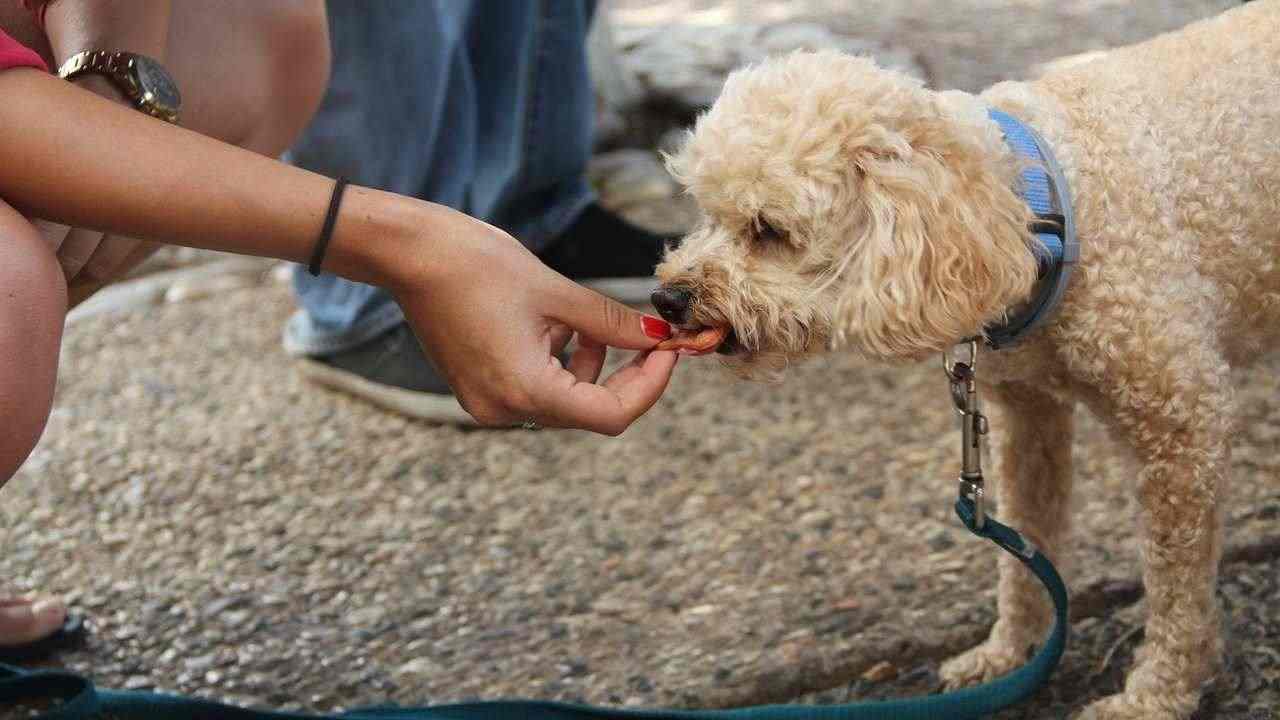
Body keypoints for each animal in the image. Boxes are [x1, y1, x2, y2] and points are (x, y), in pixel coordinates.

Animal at [650, 2, 1280, 712]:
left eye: (769, 230)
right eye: (705, 213)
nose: (667, 298)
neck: (1043, 209)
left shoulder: (1182, 428)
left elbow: (1177, 589)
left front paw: (1156, 695)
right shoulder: (1028, 417)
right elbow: (1025, 546)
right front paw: (1010, 654)